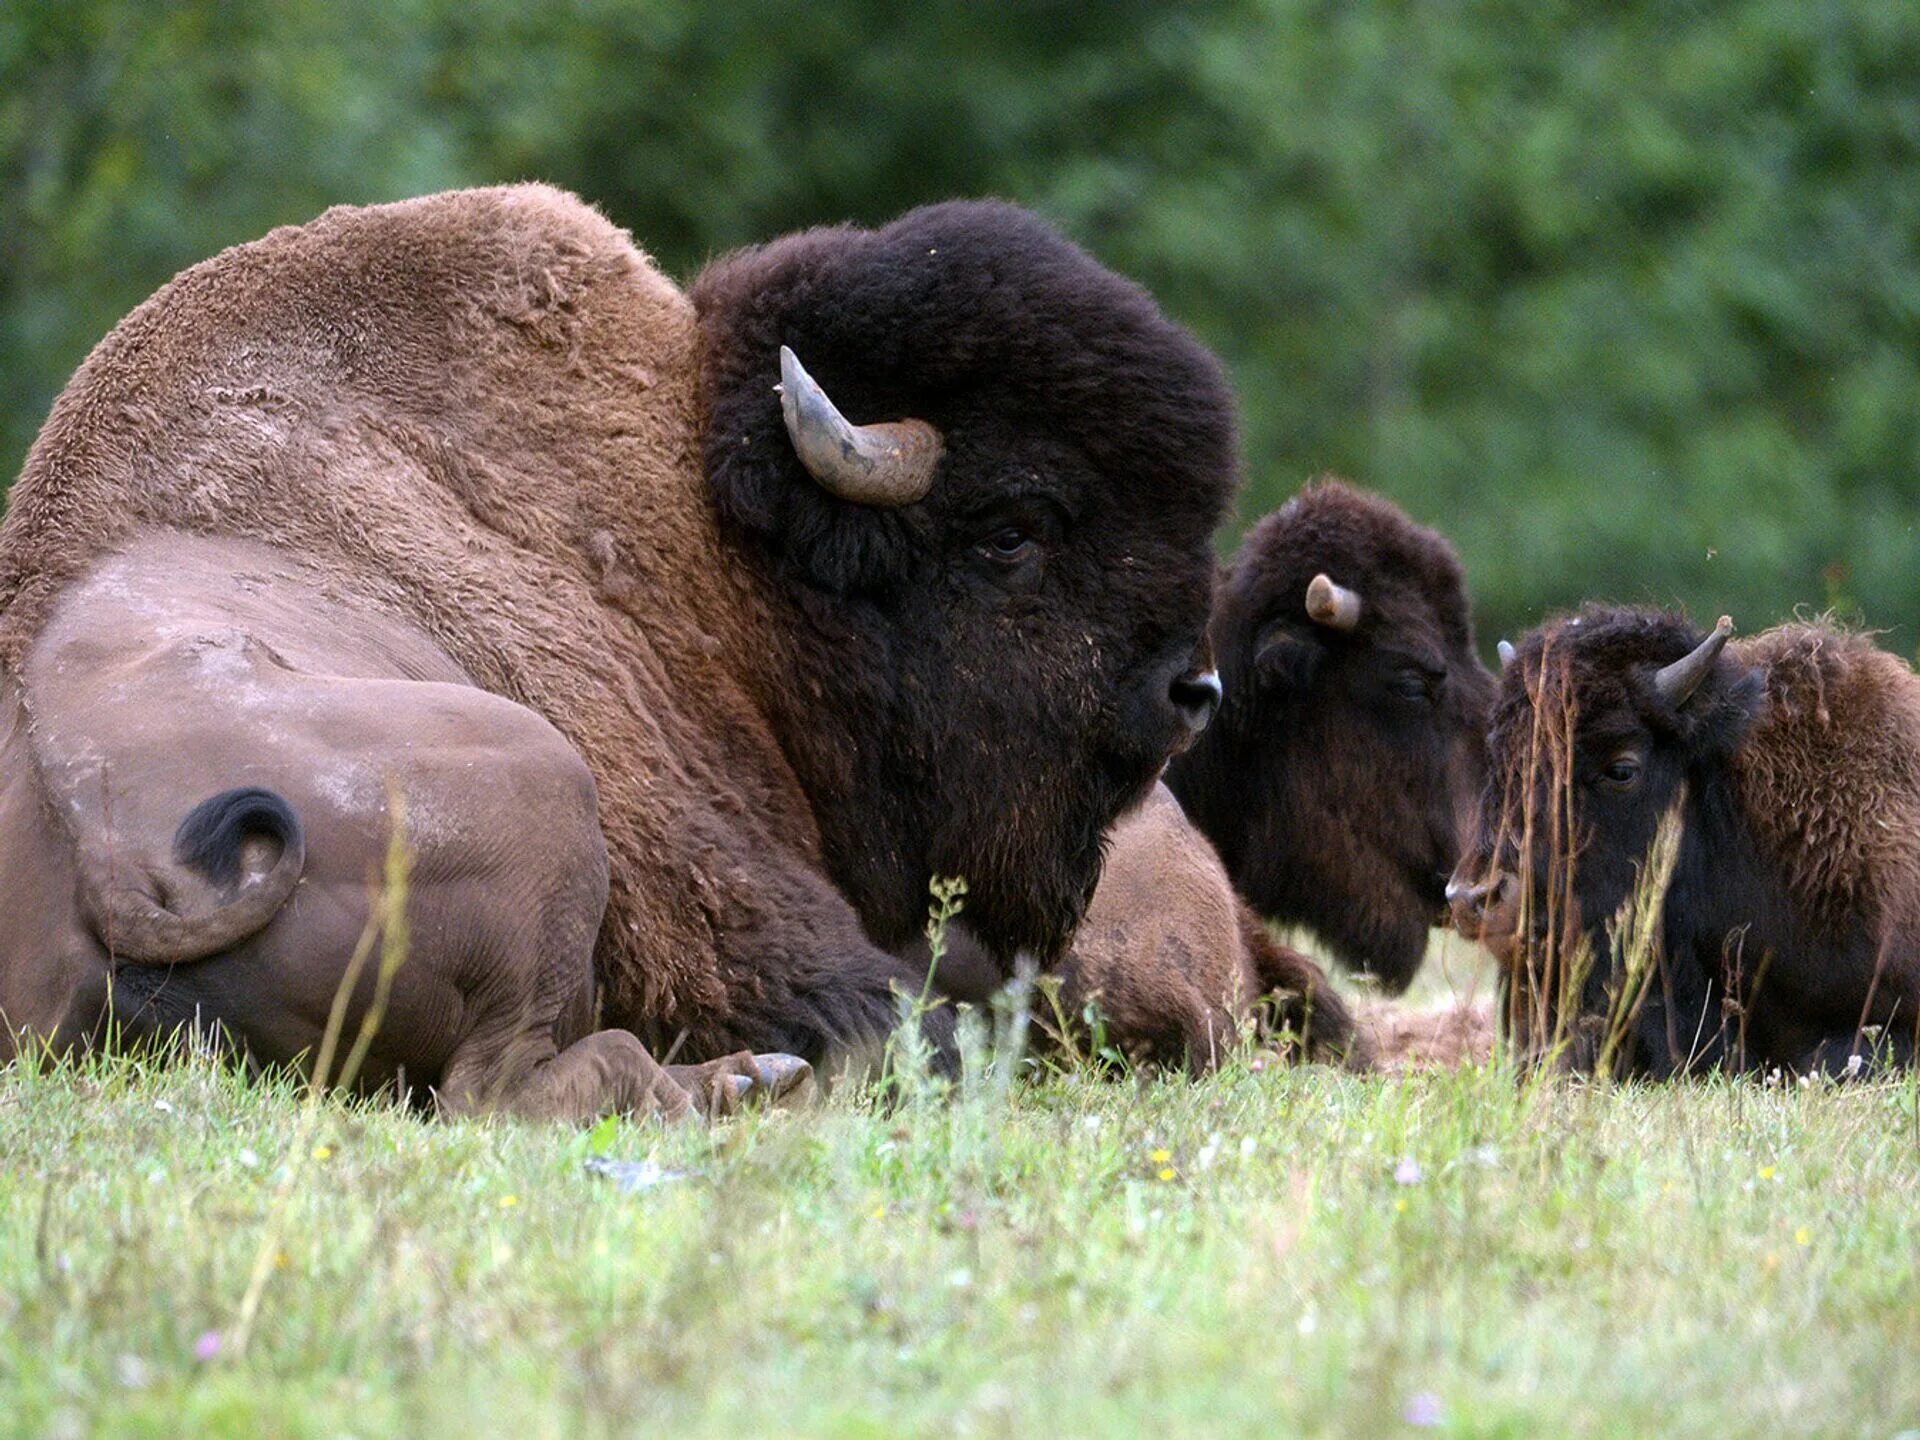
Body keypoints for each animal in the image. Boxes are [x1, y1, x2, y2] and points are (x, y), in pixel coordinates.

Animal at [0, 186, 1228, 1121]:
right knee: (503, 1092)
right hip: (546, 786)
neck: (711, 536)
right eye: (1014, 531)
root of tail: (117, 861)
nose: (1192, 688)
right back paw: (744, 1082)